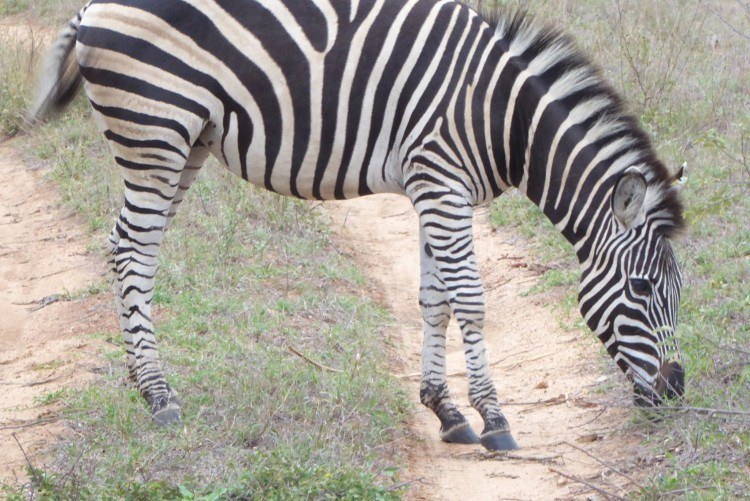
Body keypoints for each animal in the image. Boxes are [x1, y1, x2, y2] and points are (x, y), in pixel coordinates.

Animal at [30, 0, 688, 452]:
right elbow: (470, 300)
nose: (677, 391)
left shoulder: (434, 187)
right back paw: (158, 395)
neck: (504, 118)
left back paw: (146, 386)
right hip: (154, 134)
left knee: (129, 245)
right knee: (132, 252)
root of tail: (93, 6)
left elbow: (434, 300)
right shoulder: (443, 183)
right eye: (642, 289)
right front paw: (494, 418)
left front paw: (446, 412)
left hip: (185, 142)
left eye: (676, 293)